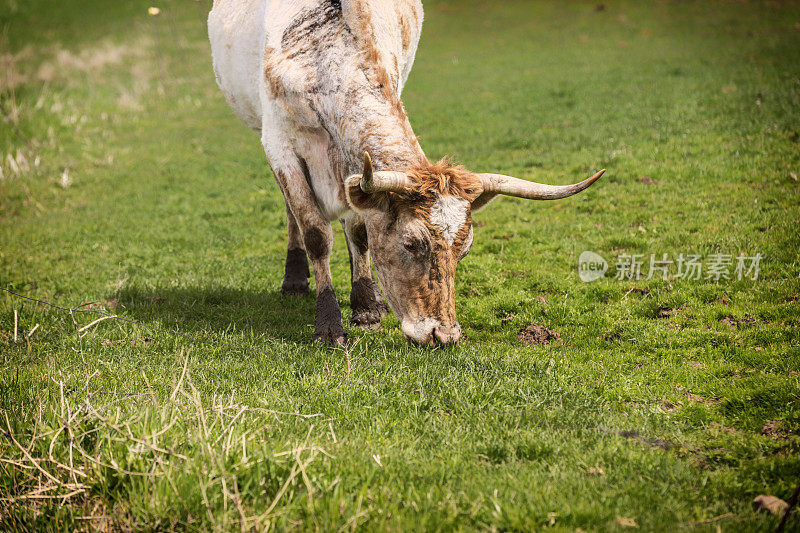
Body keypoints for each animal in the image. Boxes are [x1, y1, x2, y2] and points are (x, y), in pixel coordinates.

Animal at [209, 0, 604, 348]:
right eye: (411, 243)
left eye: (464, 249)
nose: (443, 335)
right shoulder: (280, 144)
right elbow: (316, 234)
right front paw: (329, 326)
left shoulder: (354, 164)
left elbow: (360, 231)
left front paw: (366, 307)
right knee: (293, 213)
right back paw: (294, 278)